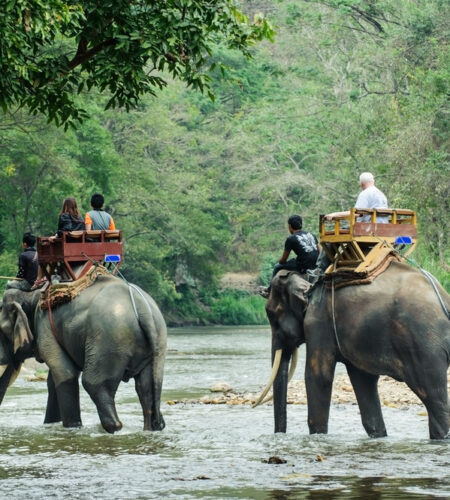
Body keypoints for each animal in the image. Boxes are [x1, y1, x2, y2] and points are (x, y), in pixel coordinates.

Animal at [0, 274, 167, 434]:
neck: (33, 294)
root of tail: (143, 309)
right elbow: (53, 380)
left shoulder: (45, 325)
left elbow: (65, 374)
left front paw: (72, 428)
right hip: (156, 341)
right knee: (147, 388)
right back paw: (153, 426)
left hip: (108, 339)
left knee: (94, 383)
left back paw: (114, 427)